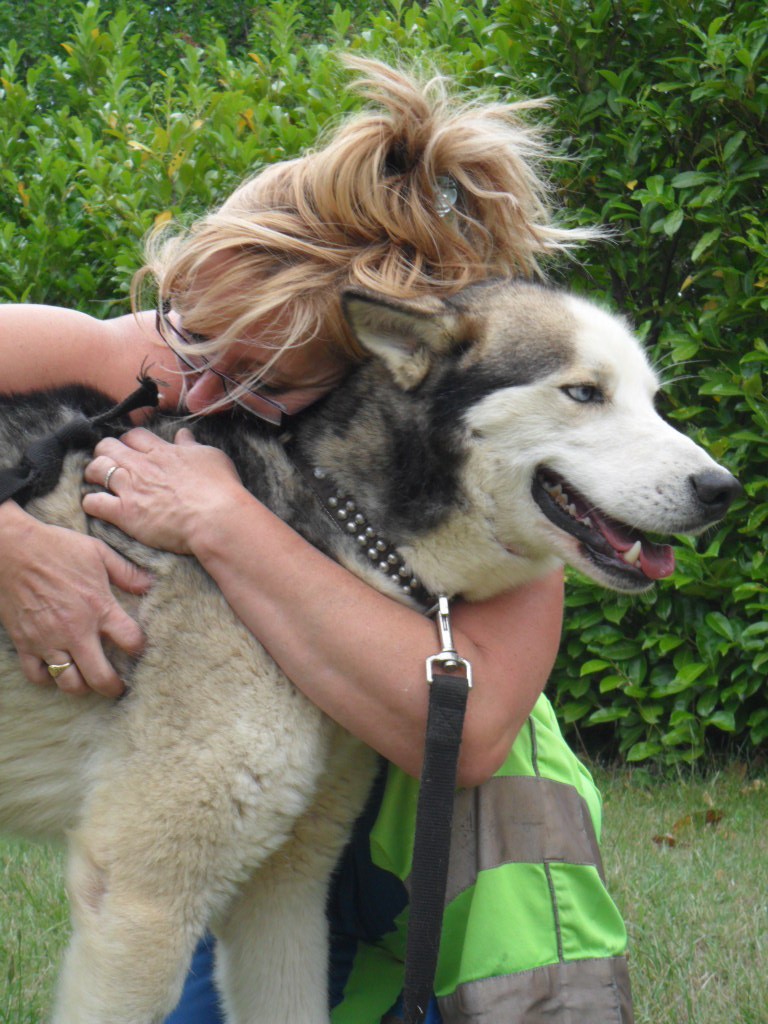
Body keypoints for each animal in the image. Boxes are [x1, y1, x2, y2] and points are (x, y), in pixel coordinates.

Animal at [0, 280, 741, 1024]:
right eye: (585, 392)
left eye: (653, 400)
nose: (724, 491)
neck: (314, 522)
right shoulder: (141, 899)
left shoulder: (287, 885)